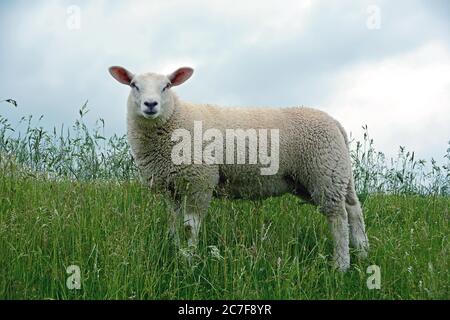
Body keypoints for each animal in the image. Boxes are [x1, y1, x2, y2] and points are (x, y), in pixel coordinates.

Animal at [109, 66, 370, 272]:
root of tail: (335, 123)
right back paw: (363, 253)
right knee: (353, 209)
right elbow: (173, 222)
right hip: (328, 175)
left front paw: (190, 260)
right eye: (134, 85)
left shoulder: (200, 181)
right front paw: (174, 249)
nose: (150, 105)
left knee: (338, 217)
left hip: (324, 172)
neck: (175, 119)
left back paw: (341, 265)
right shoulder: (170, 186)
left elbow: (190, 227)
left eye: (166, 86)